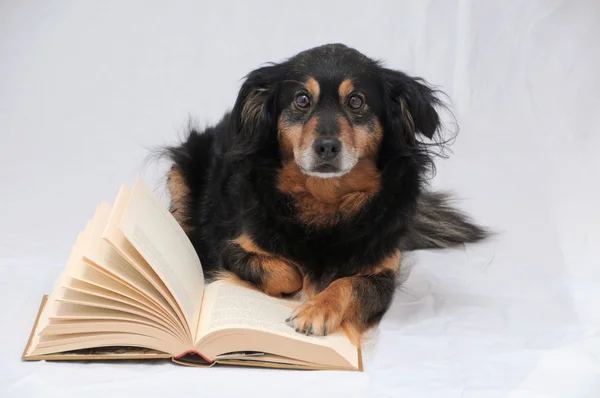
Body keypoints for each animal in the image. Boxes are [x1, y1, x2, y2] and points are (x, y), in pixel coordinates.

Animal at [165, 42, 488, 342]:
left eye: (356, 101)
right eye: (302, 99)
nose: (327, 147)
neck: (325, 201)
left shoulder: (384, 273)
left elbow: (349, 284)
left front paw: (316, 308)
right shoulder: (233, 247)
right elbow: (288, 273)